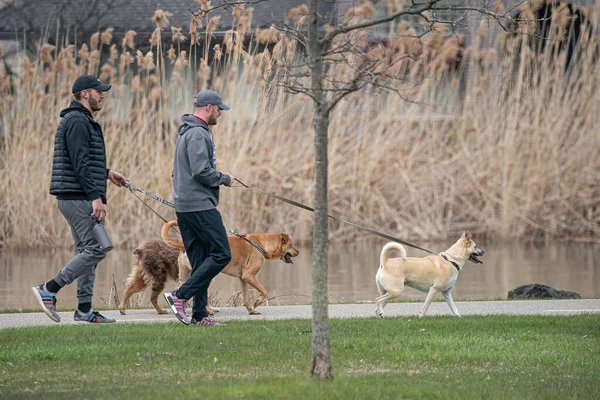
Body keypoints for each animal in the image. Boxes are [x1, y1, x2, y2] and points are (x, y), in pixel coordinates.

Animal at [162, 220, 300, 314]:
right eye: (291, 244)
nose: (298, 252)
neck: (261, 245)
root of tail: (185, 246)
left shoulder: (243, 278)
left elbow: (245, 296)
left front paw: (251, 310)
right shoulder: (249, 276)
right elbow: (264, 290)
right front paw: (257, 302)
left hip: (185, 275)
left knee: (181, 287)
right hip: (206, 274)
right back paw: (208, 311)